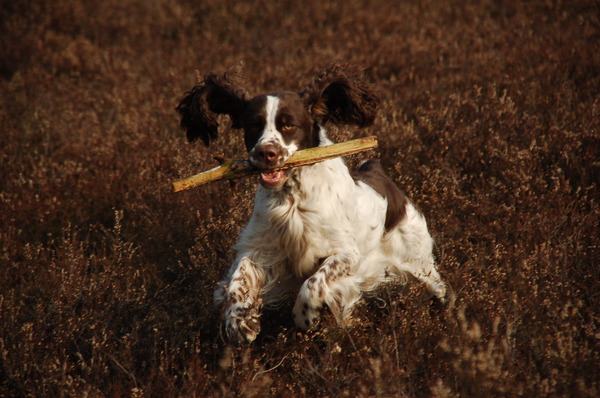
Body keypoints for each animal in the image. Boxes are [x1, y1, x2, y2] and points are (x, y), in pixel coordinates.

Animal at [176, 63, 448, 344]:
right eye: (253, 125)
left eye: (288, 125)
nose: (266, 153)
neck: (291, 197)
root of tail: (377, 171)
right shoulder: (261, 248)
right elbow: (237, 282)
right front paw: (240, 321)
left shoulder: (344, 253)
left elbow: (313, 285)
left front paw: (305, 317)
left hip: (418, 260)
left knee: (439, 289)